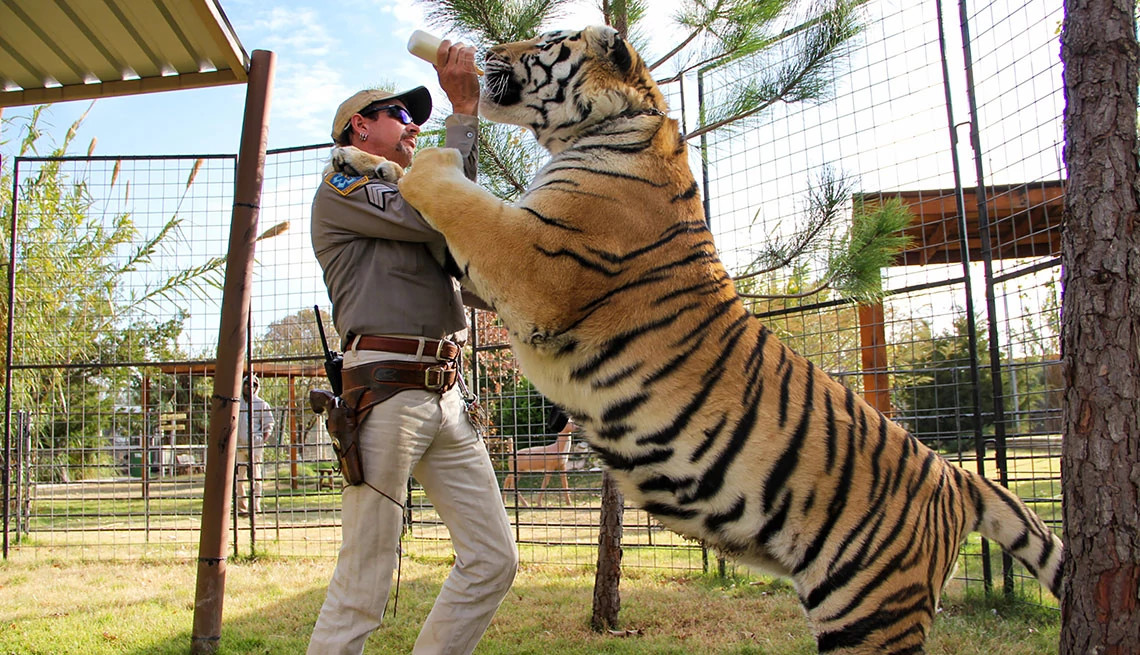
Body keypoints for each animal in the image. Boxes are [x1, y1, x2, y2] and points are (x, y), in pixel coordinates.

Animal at [370, 24, 1063, 654]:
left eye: (542, 41)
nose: (484, 50)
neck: (607, 126)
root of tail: (955, 476)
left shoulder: (534, 263)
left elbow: (459, 197)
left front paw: (422, 159)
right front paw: (368, 159)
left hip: (870, 609)